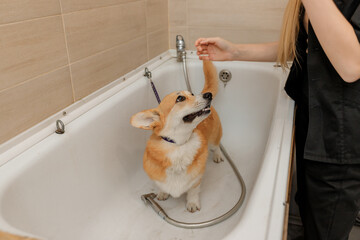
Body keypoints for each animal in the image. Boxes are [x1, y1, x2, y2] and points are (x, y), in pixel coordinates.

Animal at [131, 60, 221, 212]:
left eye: (192, 94)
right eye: (180, 98)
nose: (208, 95)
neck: (178, 145)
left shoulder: (196, 179)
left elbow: (193, 191)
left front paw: (192, 203)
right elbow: (161, 186)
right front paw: (162, 193)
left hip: (214, 137)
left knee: (217, 146)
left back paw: (218, 155)